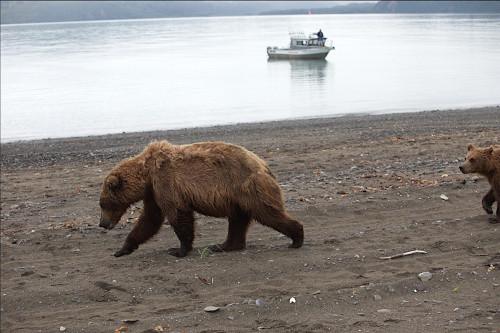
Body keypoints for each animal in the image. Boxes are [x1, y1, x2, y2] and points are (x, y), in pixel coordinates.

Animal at [97, 140, 300, 256]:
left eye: (103, 204)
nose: (101, 223)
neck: (147, 174)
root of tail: (264, 165)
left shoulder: (166, 183)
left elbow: (178, 214)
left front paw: (178, 249)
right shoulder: (154, 192)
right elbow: (149, 220)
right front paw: (122, 249)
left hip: (247, 186)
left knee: (267, 213)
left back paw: (297, 237)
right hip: (237, 197)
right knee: (238, 220)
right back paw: (224, 245)